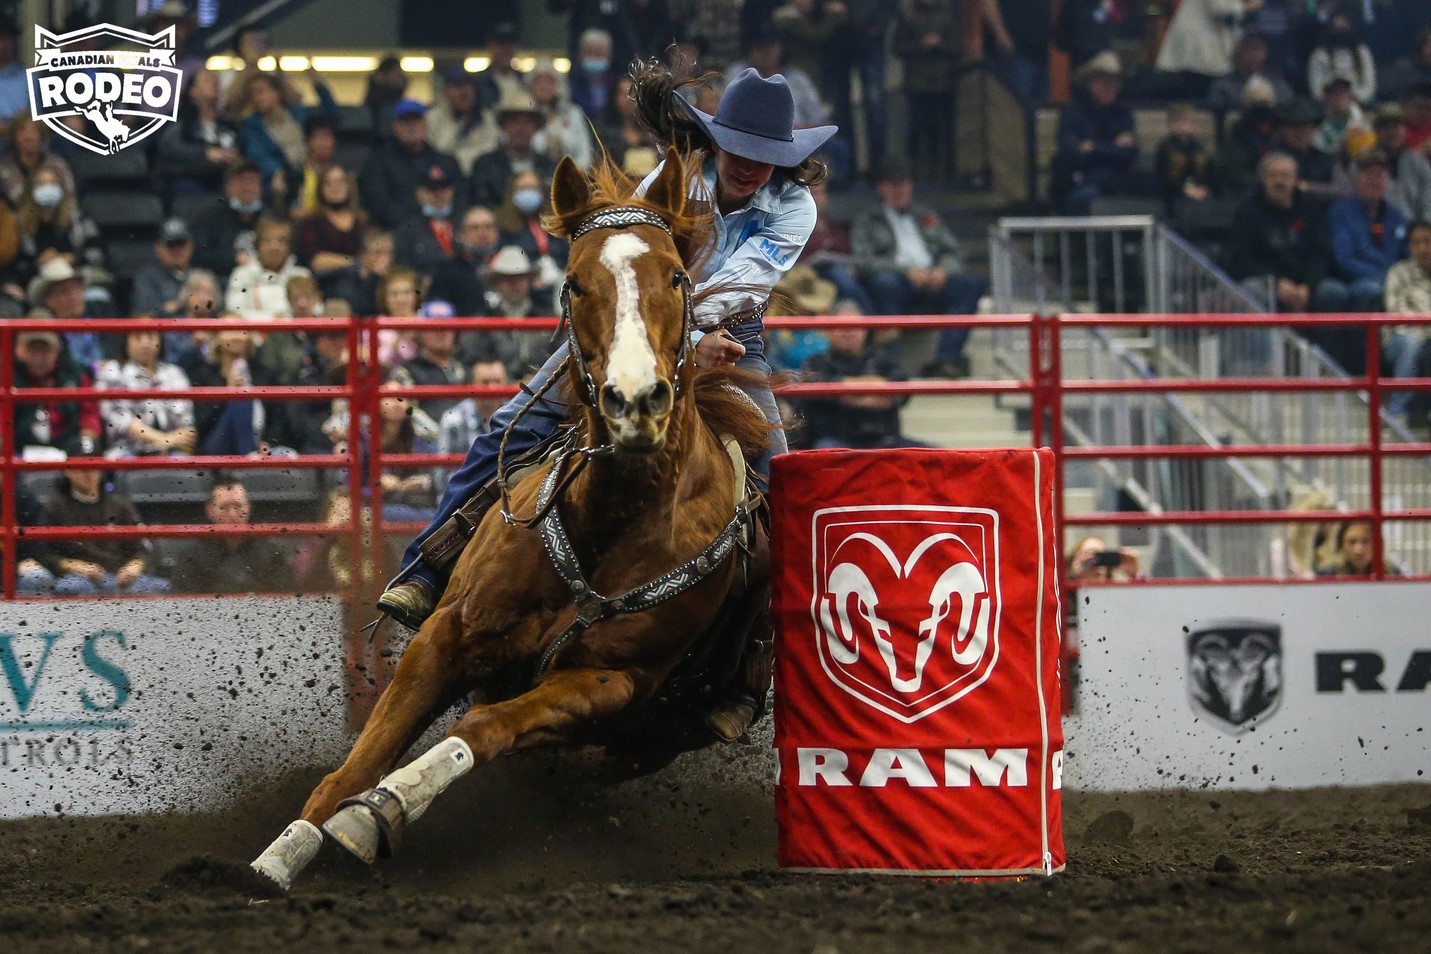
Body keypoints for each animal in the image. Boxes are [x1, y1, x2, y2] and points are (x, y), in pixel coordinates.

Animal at [254, 147, 772, 886]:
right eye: (576, 283)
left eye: (675, 276)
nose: (635, 400)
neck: (610, 522)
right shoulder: (448, 634)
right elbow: (356, 763)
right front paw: (288, 849)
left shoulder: (609, 684)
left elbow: (482, 731)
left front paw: (379, 812)